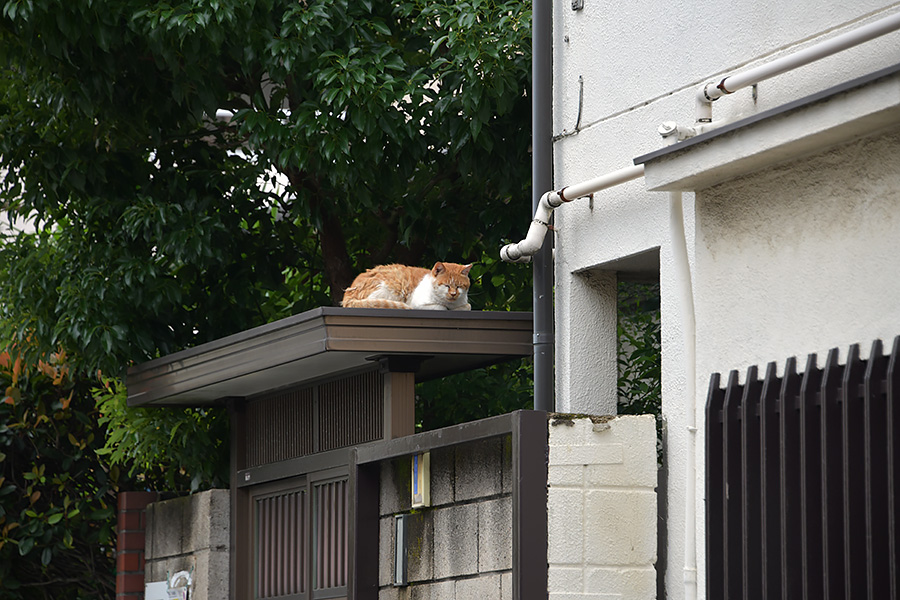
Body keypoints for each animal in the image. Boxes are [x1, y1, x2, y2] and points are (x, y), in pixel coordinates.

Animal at [342, 262, 474, 312]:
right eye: (446, 285)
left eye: (459, 286)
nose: (453, 294)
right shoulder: (418, 304)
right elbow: (441, 307)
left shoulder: (465, 303)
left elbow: (468, 306)